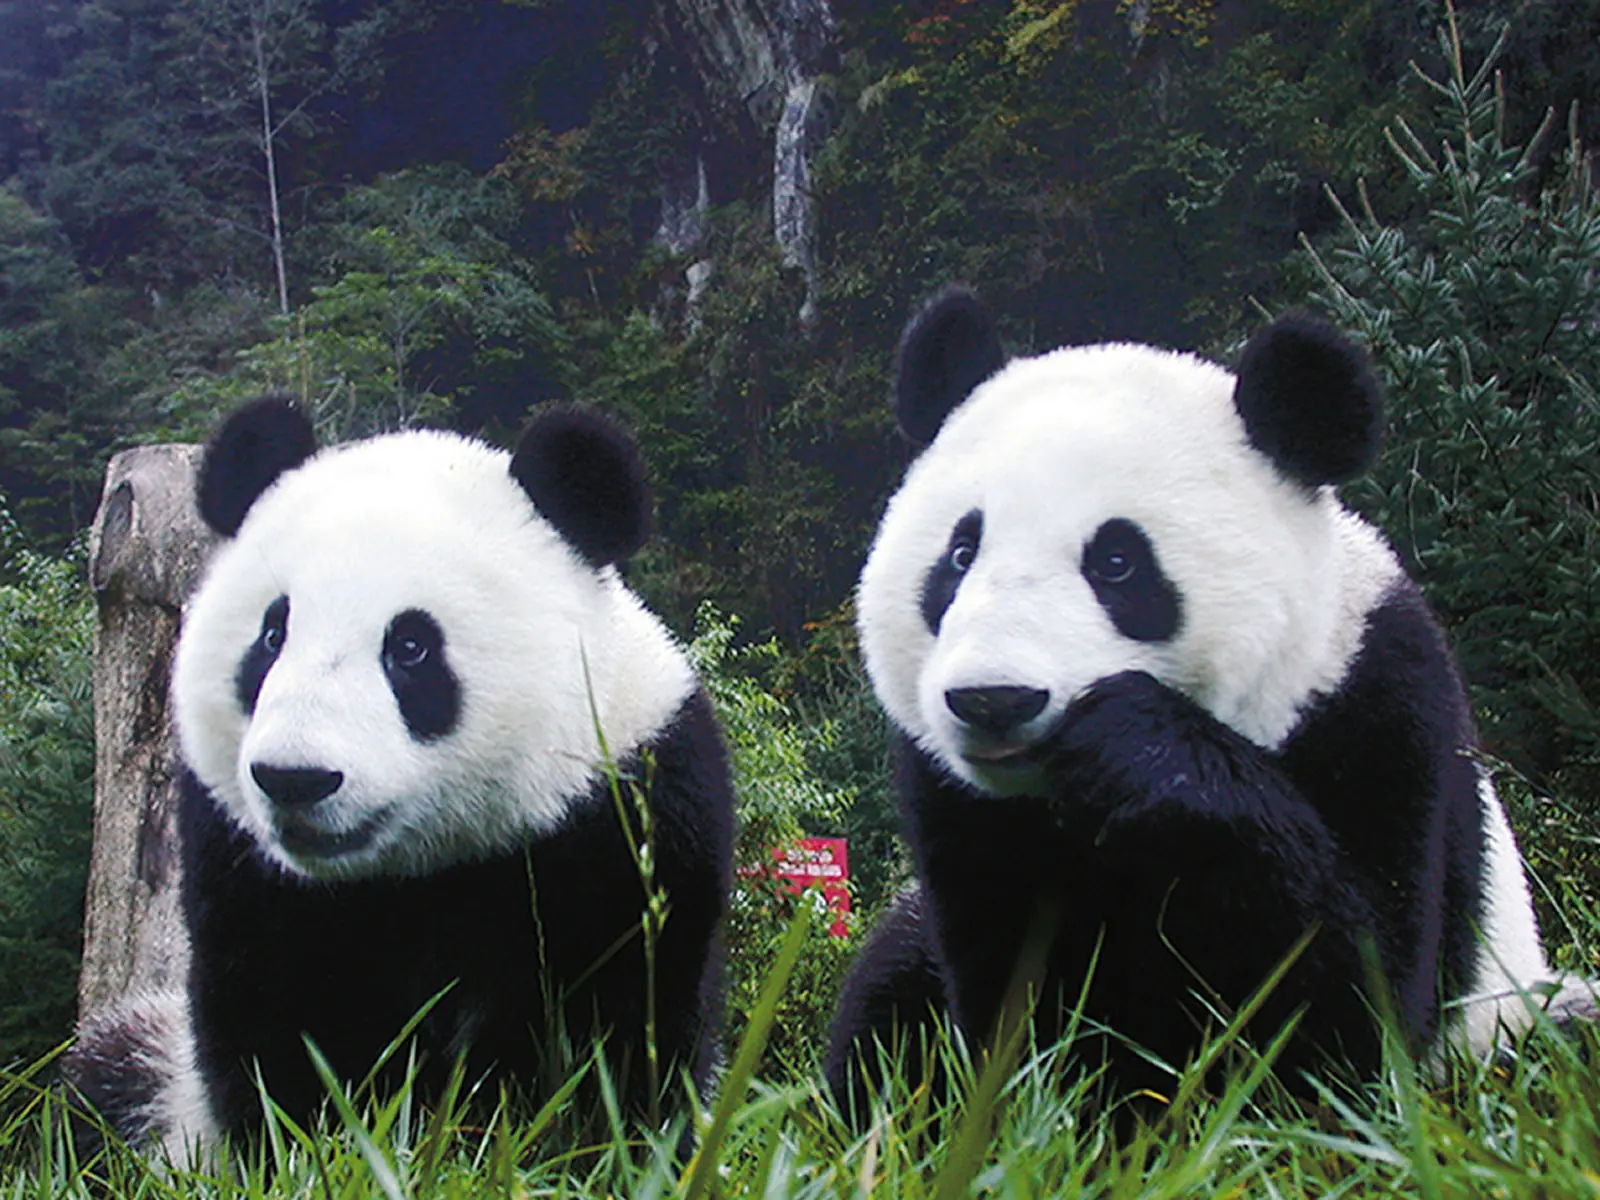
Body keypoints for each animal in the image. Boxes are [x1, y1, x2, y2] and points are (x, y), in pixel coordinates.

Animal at [64, 397, 734, 1159]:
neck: (418, 871)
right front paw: (335, 1150)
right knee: (102, 1087)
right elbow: (281, 1036)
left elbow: (618, 1028)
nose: (295, 778)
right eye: (272, 636)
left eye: (411, 647)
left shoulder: (623, 814)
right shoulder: (249, 875)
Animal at [824, 288, 1592, 1115]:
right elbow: (1019, 993)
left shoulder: (1380, 701)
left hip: (1509, 1024)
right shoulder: (964, 808)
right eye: (961, 555)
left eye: (1118, 563)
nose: (994, 698)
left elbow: (1350, 1005)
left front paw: (1142, 750)